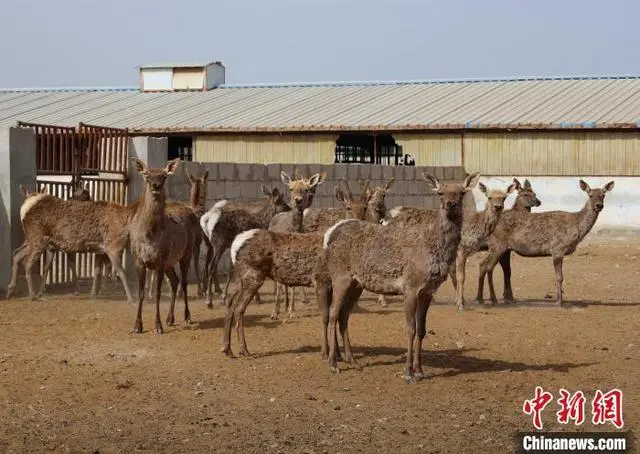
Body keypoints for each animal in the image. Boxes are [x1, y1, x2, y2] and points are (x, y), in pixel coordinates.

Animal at [129, 159, 195, 334]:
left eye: (164, 176)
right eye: (146, 175)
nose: (155, 185)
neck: (148, 235)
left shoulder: (160, 260)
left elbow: (158, 293)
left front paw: (157, 326)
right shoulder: (138, 260)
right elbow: (141, 292)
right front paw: (137, 326)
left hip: (187, 253)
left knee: (184, 282)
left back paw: (187, 317)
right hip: (169, 263)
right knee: (175, 281)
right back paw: (170, 319)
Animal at [220, 171, 330, 358]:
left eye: (308, 189)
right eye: (291, 188)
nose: (297, 201)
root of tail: (236, 244)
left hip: (240, 279)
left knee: (230, 306)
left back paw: (227, 348)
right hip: (253, 276)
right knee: (239, 308)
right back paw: (244, 349)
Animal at [320, 172, 480, 382]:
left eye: (461, 193)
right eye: (440, 193)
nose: (450, 204)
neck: (434, 250)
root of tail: (330, 235)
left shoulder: (428, 291)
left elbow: (422, 329)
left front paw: (420, 370)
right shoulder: (410, 286)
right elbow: (410, 329)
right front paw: (408, 372)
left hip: (357, 283)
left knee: (344, 314)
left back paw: (353, 361)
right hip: (340, 275)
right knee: (332, 313)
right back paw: (333, 363)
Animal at [478, 179, 612, 306]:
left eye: (603, 195)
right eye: (590, 195)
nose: (599, 205)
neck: (576, 228)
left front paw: (559, 300)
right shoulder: (558, 248)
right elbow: (559, 277)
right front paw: (559, 302)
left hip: (502, 248)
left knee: (490, 267)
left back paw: (489, 298)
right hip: (498, 245)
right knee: (486, 266)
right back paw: (489, 299)